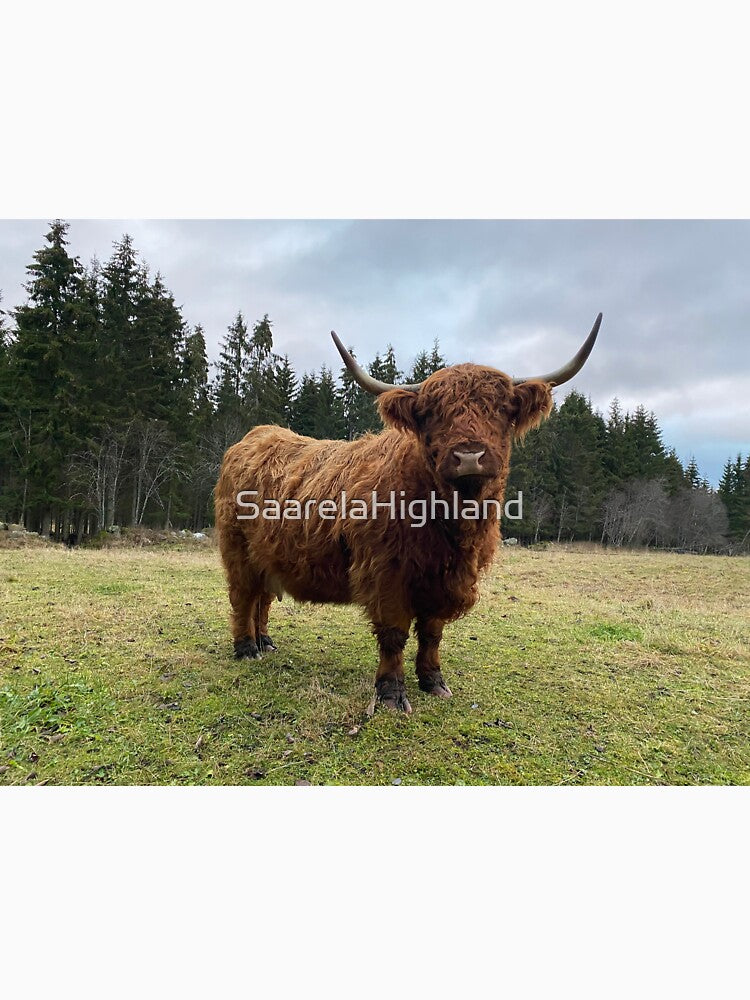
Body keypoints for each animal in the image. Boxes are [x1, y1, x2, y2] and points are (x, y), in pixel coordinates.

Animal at [215, 314, 602, 713]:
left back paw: (265, 642)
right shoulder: (386, 573)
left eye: (501, 410)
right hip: (238, 549)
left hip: (267, 555)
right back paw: (246, 648)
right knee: (243, 596)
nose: (469, 456)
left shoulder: (448, 581)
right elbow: (394, 633)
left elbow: (432, 634)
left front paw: (433, 681)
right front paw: (391, 692)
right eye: (432, 414)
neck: (451, 525)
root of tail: (255, 436)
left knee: (261, 597)